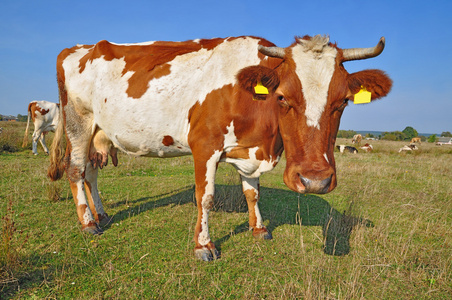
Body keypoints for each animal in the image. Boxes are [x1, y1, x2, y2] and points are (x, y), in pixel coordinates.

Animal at [47, 34, 390, 260]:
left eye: (343, 101)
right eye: (282, 97)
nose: (315, 180)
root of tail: (76, 48)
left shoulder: (251, 151)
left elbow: (252, 193)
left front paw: (258, 229)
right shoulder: (205, 146)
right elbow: (205, 197)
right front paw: (203, 245)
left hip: (99, 131)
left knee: (91, 172)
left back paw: (102, 213)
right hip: (79, 121)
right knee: (76, 169)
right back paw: (89, 223)